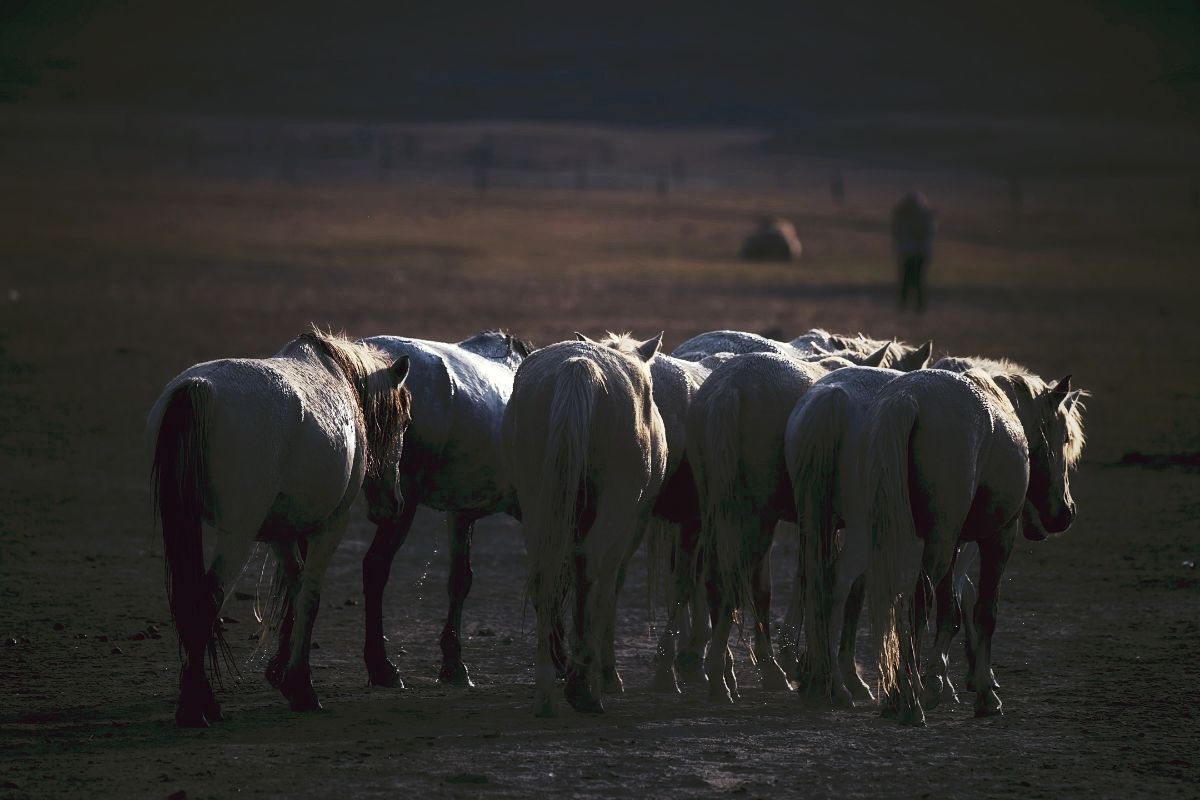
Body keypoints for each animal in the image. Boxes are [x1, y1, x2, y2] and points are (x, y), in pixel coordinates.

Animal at [148, 328, 412, 729]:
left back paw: (202, 701)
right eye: (402, 420)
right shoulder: (331, 525)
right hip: (238, 537)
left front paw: (285, 673)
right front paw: (301, 686)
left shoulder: (280, 533)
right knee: (206, 598)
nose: (394, 505)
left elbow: (293, 585)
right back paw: (195, 707)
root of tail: (198, 388)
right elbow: (309, 596)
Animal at [350, 331, 530, 690]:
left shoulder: (462, 512)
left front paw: (453, 663)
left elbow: (460, 579)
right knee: (375, 566)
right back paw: (381, 666)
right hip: (401, 504)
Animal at [496, 335, 667, 714]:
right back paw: (582, 688)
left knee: (545, 574)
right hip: (615, 510)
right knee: (593, 577)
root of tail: (579, 367)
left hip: (538, 503)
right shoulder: (628, 530)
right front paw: (606, 673)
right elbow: (607, 592)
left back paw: (548, 686)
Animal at [864, 369, 1089, 724]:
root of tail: (908, 400)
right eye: (1066, 438)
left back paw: (897, 696)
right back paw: (910, 703)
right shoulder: (999, 536)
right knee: (917, 605)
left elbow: (950, 611)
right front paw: (985, 694)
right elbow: (985, 611)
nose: (1066, 512)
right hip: (940, 543)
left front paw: (936, 685)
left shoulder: (953, 542)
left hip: (900, 538)